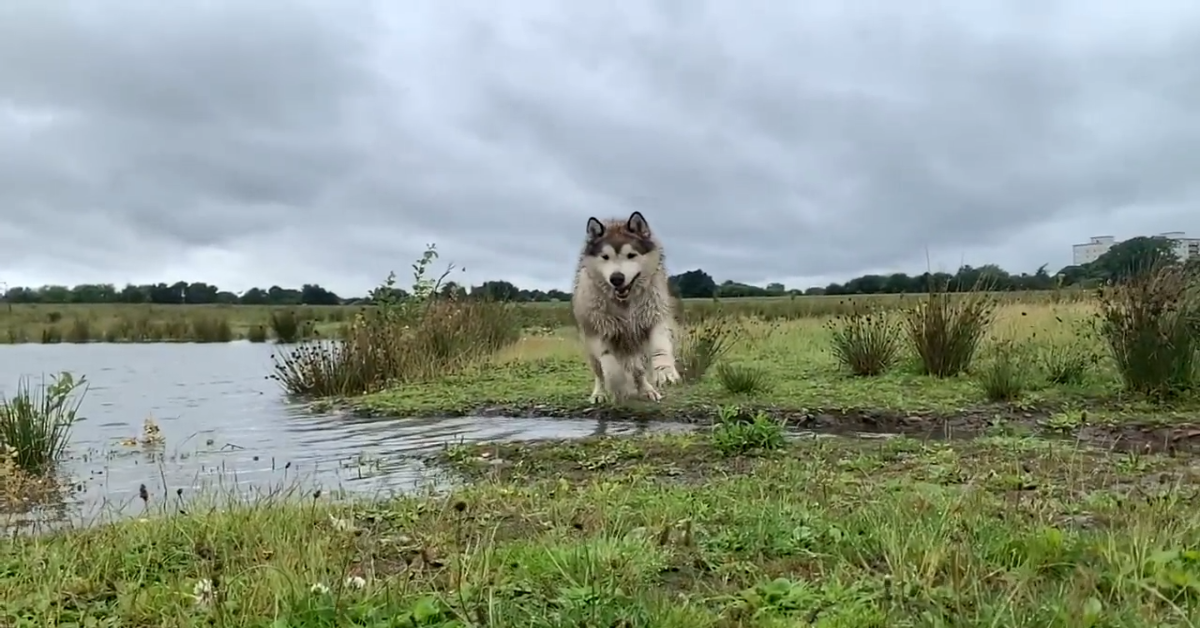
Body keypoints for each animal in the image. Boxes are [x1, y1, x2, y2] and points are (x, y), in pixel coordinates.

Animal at [568, 208, 681, 401]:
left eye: (631, 255)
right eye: (605, 257)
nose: (617, 278)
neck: (625, 304)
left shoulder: (654, 316)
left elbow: (660, 346)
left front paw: (664, 370)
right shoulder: (599, 328)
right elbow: (609, 363)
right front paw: (618, 385)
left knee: (638, 370)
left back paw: (647, 389)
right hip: (591, 348)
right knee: (600, 373)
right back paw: (600, 393)